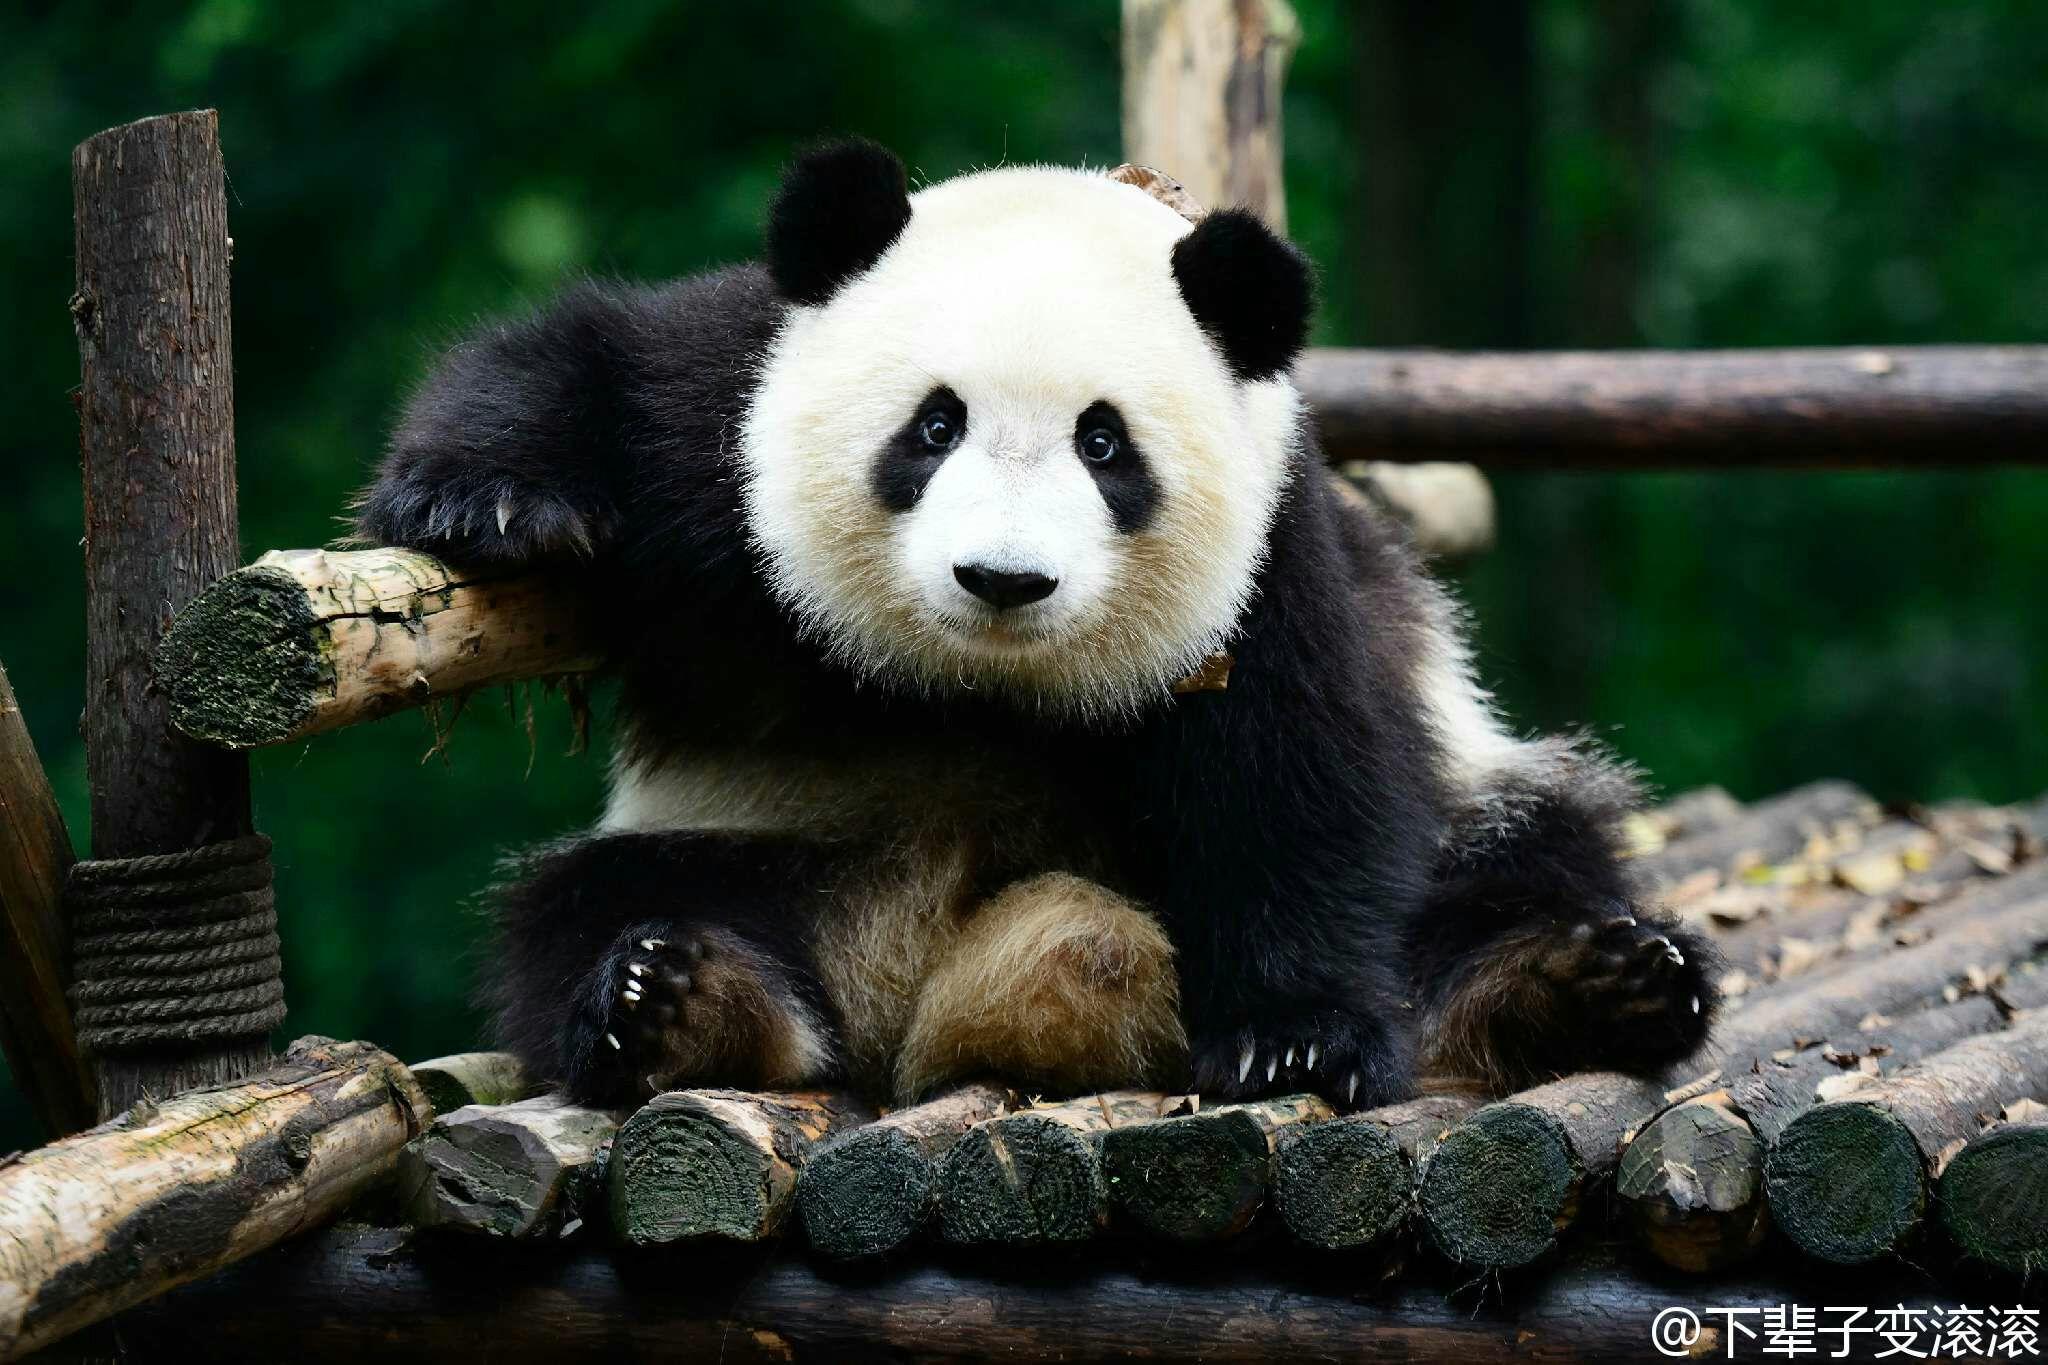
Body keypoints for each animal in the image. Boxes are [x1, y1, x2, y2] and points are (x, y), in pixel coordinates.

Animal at [358, 140, 1716, 1112]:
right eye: (932, 424)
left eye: (1103, 444)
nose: (1000, 580)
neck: (981, 684)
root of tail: (923, 991)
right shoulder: (722, 428)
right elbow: (590, 366)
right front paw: (486, 499)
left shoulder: (1273, 560)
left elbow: (1298, 770)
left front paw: (1292, 1044)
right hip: (763, 843)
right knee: (579, 909)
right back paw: (681, 1004)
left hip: (1479, 789)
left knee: (1517, 860)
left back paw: (1596, 985)